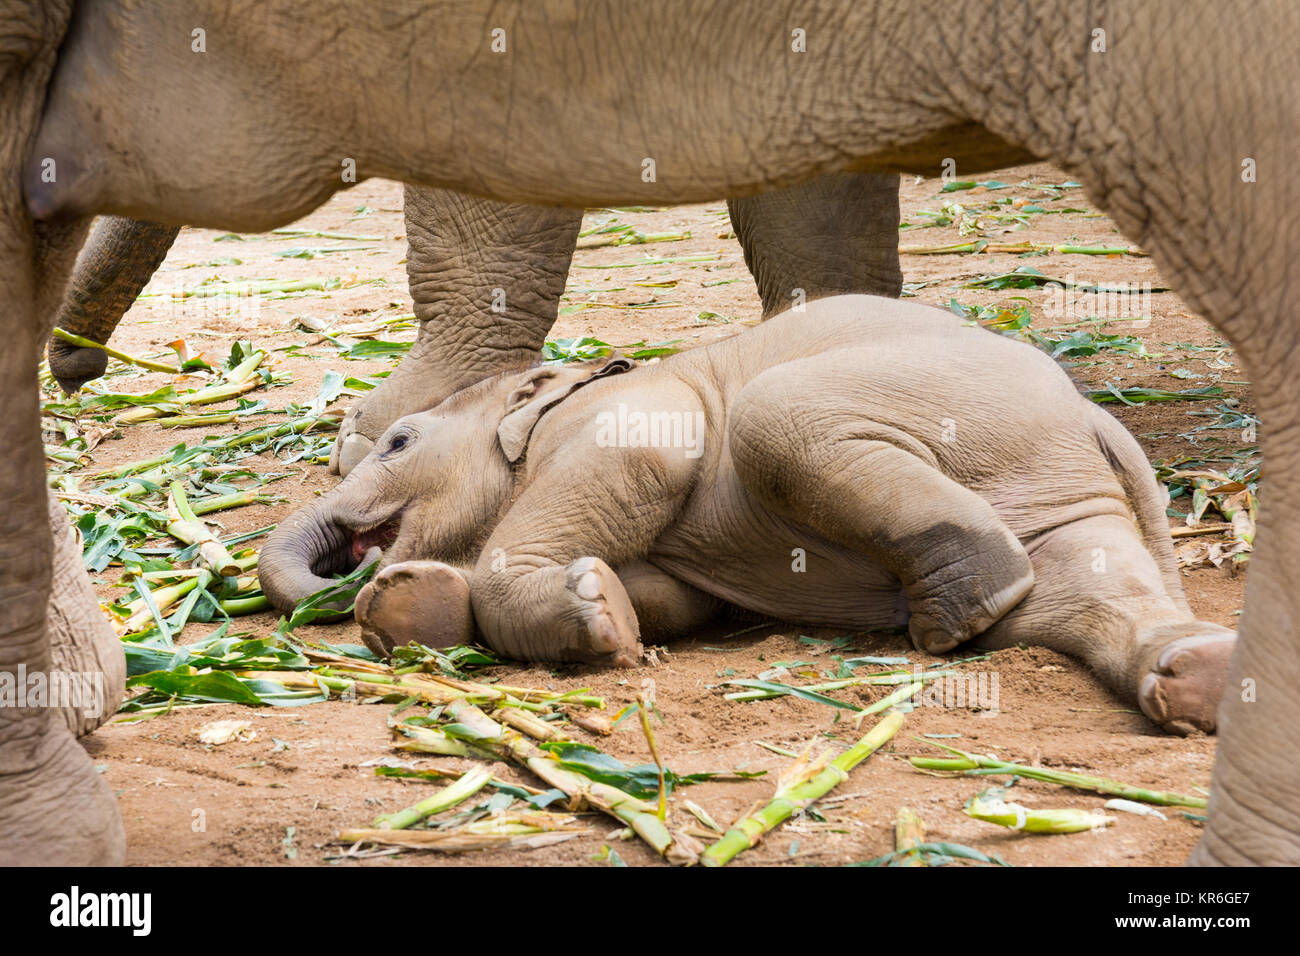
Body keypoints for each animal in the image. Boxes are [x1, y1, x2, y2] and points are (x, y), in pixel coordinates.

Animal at [258, 295, 1232, 738]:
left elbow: (649, 455)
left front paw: (600, 623)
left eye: (399, 442)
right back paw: (1191, 677)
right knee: (1082, 594)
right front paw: (415, 605)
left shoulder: (629, 411)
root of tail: (1095, 415)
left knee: (777, 415)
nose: (344, 569)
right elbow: (679, 600)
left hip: (958, 409)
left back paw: (956, 615)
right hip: (1058, 487)